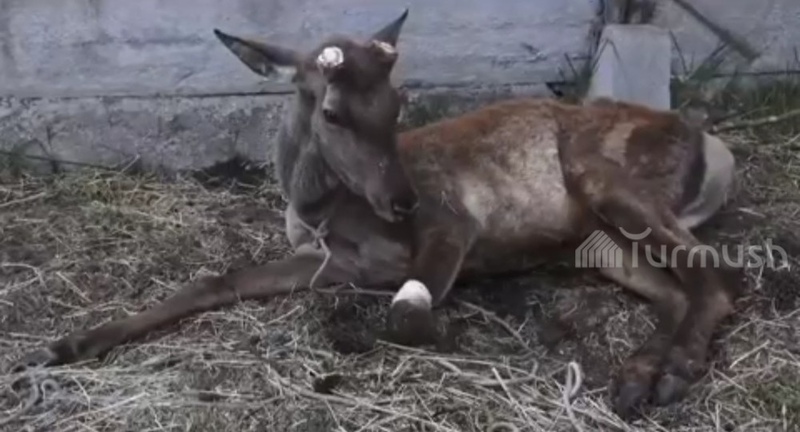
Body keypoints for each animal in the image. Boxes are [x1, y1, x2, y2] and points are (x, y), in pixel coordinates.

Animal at [9, 9, 740, 419]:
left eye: (399, 101)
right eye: (332, 111)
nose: (401, 200)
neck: (326, 213)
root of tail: (711, 145)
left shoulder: (453, 219)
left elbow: (406, 310)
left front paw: (431, 331)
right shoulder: (328, 260)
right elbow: (213, 281)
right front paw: (65, 346)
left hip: (610, 180)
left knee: (713, 273)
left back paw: (672, 372)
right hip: (598, 240)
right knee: (676, 291)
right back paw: (637, 379)